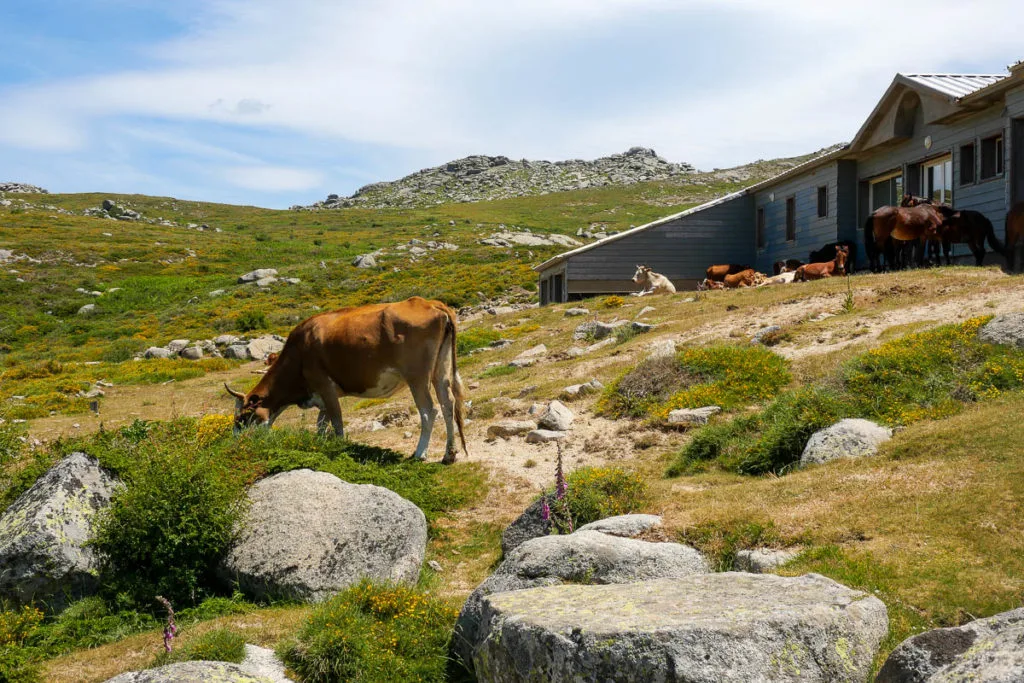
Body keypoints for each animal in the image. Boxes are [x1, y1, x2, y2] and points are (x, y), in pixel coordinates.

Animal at [224, 296, 467, 464]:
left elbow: (336, 421)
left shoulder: (325, 386)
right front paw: (319, 445)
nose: (236, 444)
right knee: (448, 404)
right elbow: (321, 424)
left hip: (417, 377)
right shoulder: (320, 396)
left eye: (242, 417)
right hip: (440, 371)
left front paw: (339, 449)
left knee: (429, 410)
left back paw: (419, 453)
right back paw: (449, 454)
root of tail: (430, 303)